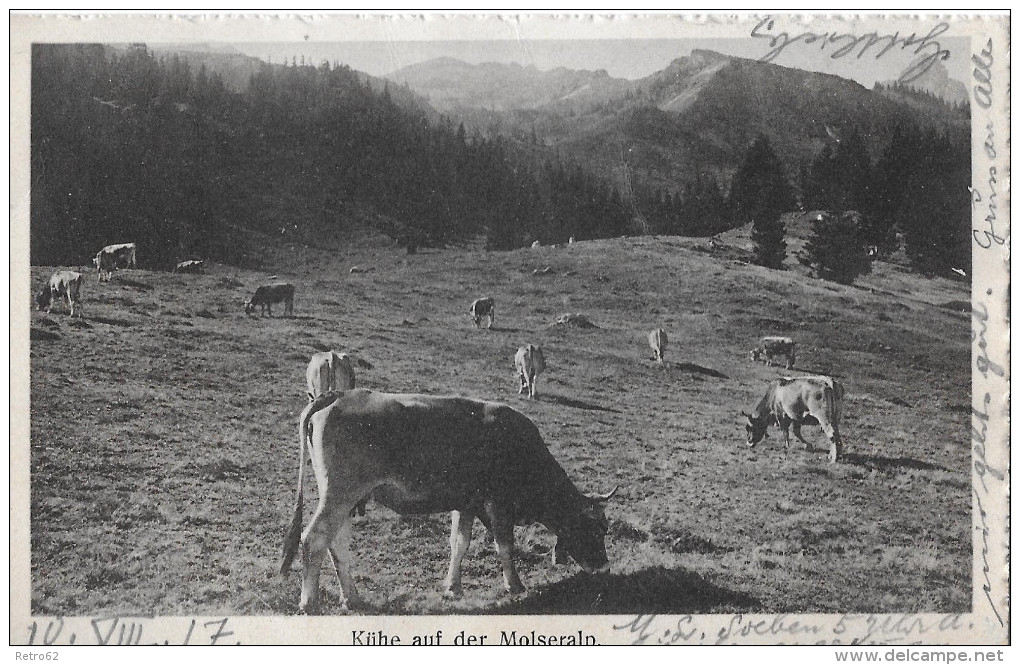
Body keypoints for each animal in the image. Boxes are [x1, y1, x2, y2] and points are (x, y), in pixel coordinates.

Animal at [279, 389, 612, 611]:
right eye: (596, 529)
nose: (605, 569)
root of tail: (339, 395)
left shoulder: (466, 503)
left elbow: (459, 544)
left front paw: (453, 587)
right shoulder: (498, 503)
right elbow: (505, 545)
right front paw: (515, 585)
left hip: (346, 500)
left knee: (337, 544)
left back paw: (353, 598)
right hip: (340, 494)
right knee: (314, 539)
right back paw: (309, 602)